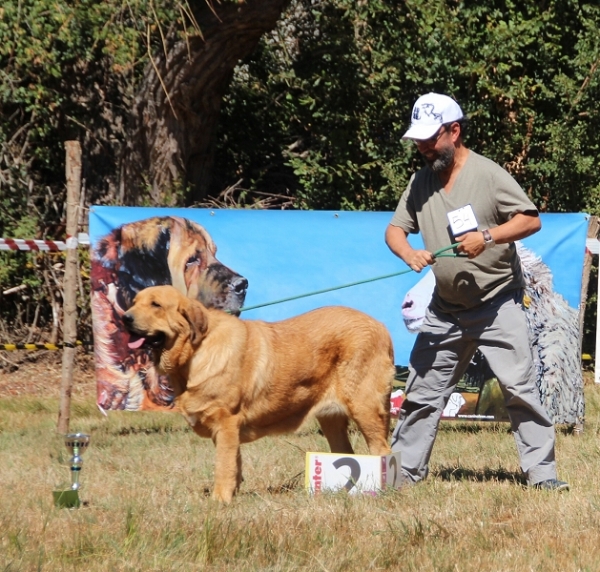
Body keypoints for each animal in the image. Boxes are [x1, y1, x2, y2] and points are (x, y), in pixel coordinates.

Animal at [122, 284, 394, 500]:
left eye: (156, 304)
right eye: (134, 302)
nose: (125, 318)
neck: (195, 351)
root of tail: (381, 326)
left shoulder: (226, 422)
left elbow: (223, 465)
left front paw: (220, 501)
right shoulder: (226, 430)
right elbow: (235, 463)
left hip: (365, 409)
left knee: (382, 451)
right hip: (331, 419)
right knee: (346, 454)